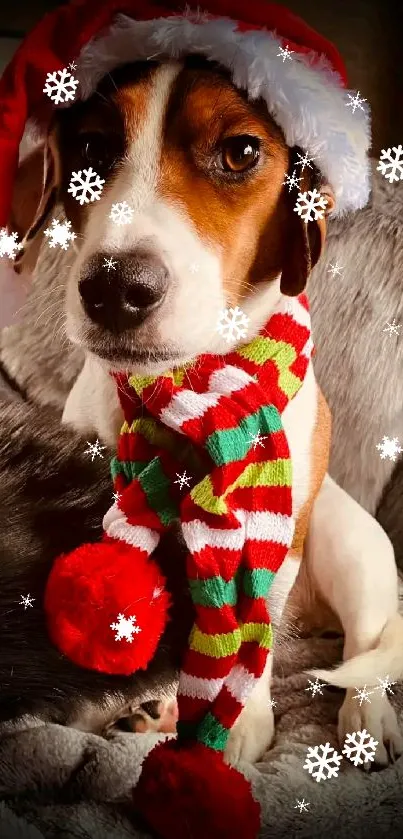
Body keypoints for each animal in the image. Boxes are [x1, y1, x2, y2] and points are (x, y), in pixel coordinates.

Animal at [8, 55, 403, 768]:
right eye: (92, 149)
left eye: (241, 151)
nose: (114, 287)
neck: (190, 385)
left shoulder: (280, 531)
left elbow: (256, 629)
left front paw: (240, 721)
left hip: (350, 543)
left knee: (367, 648)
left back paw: (365, 716)